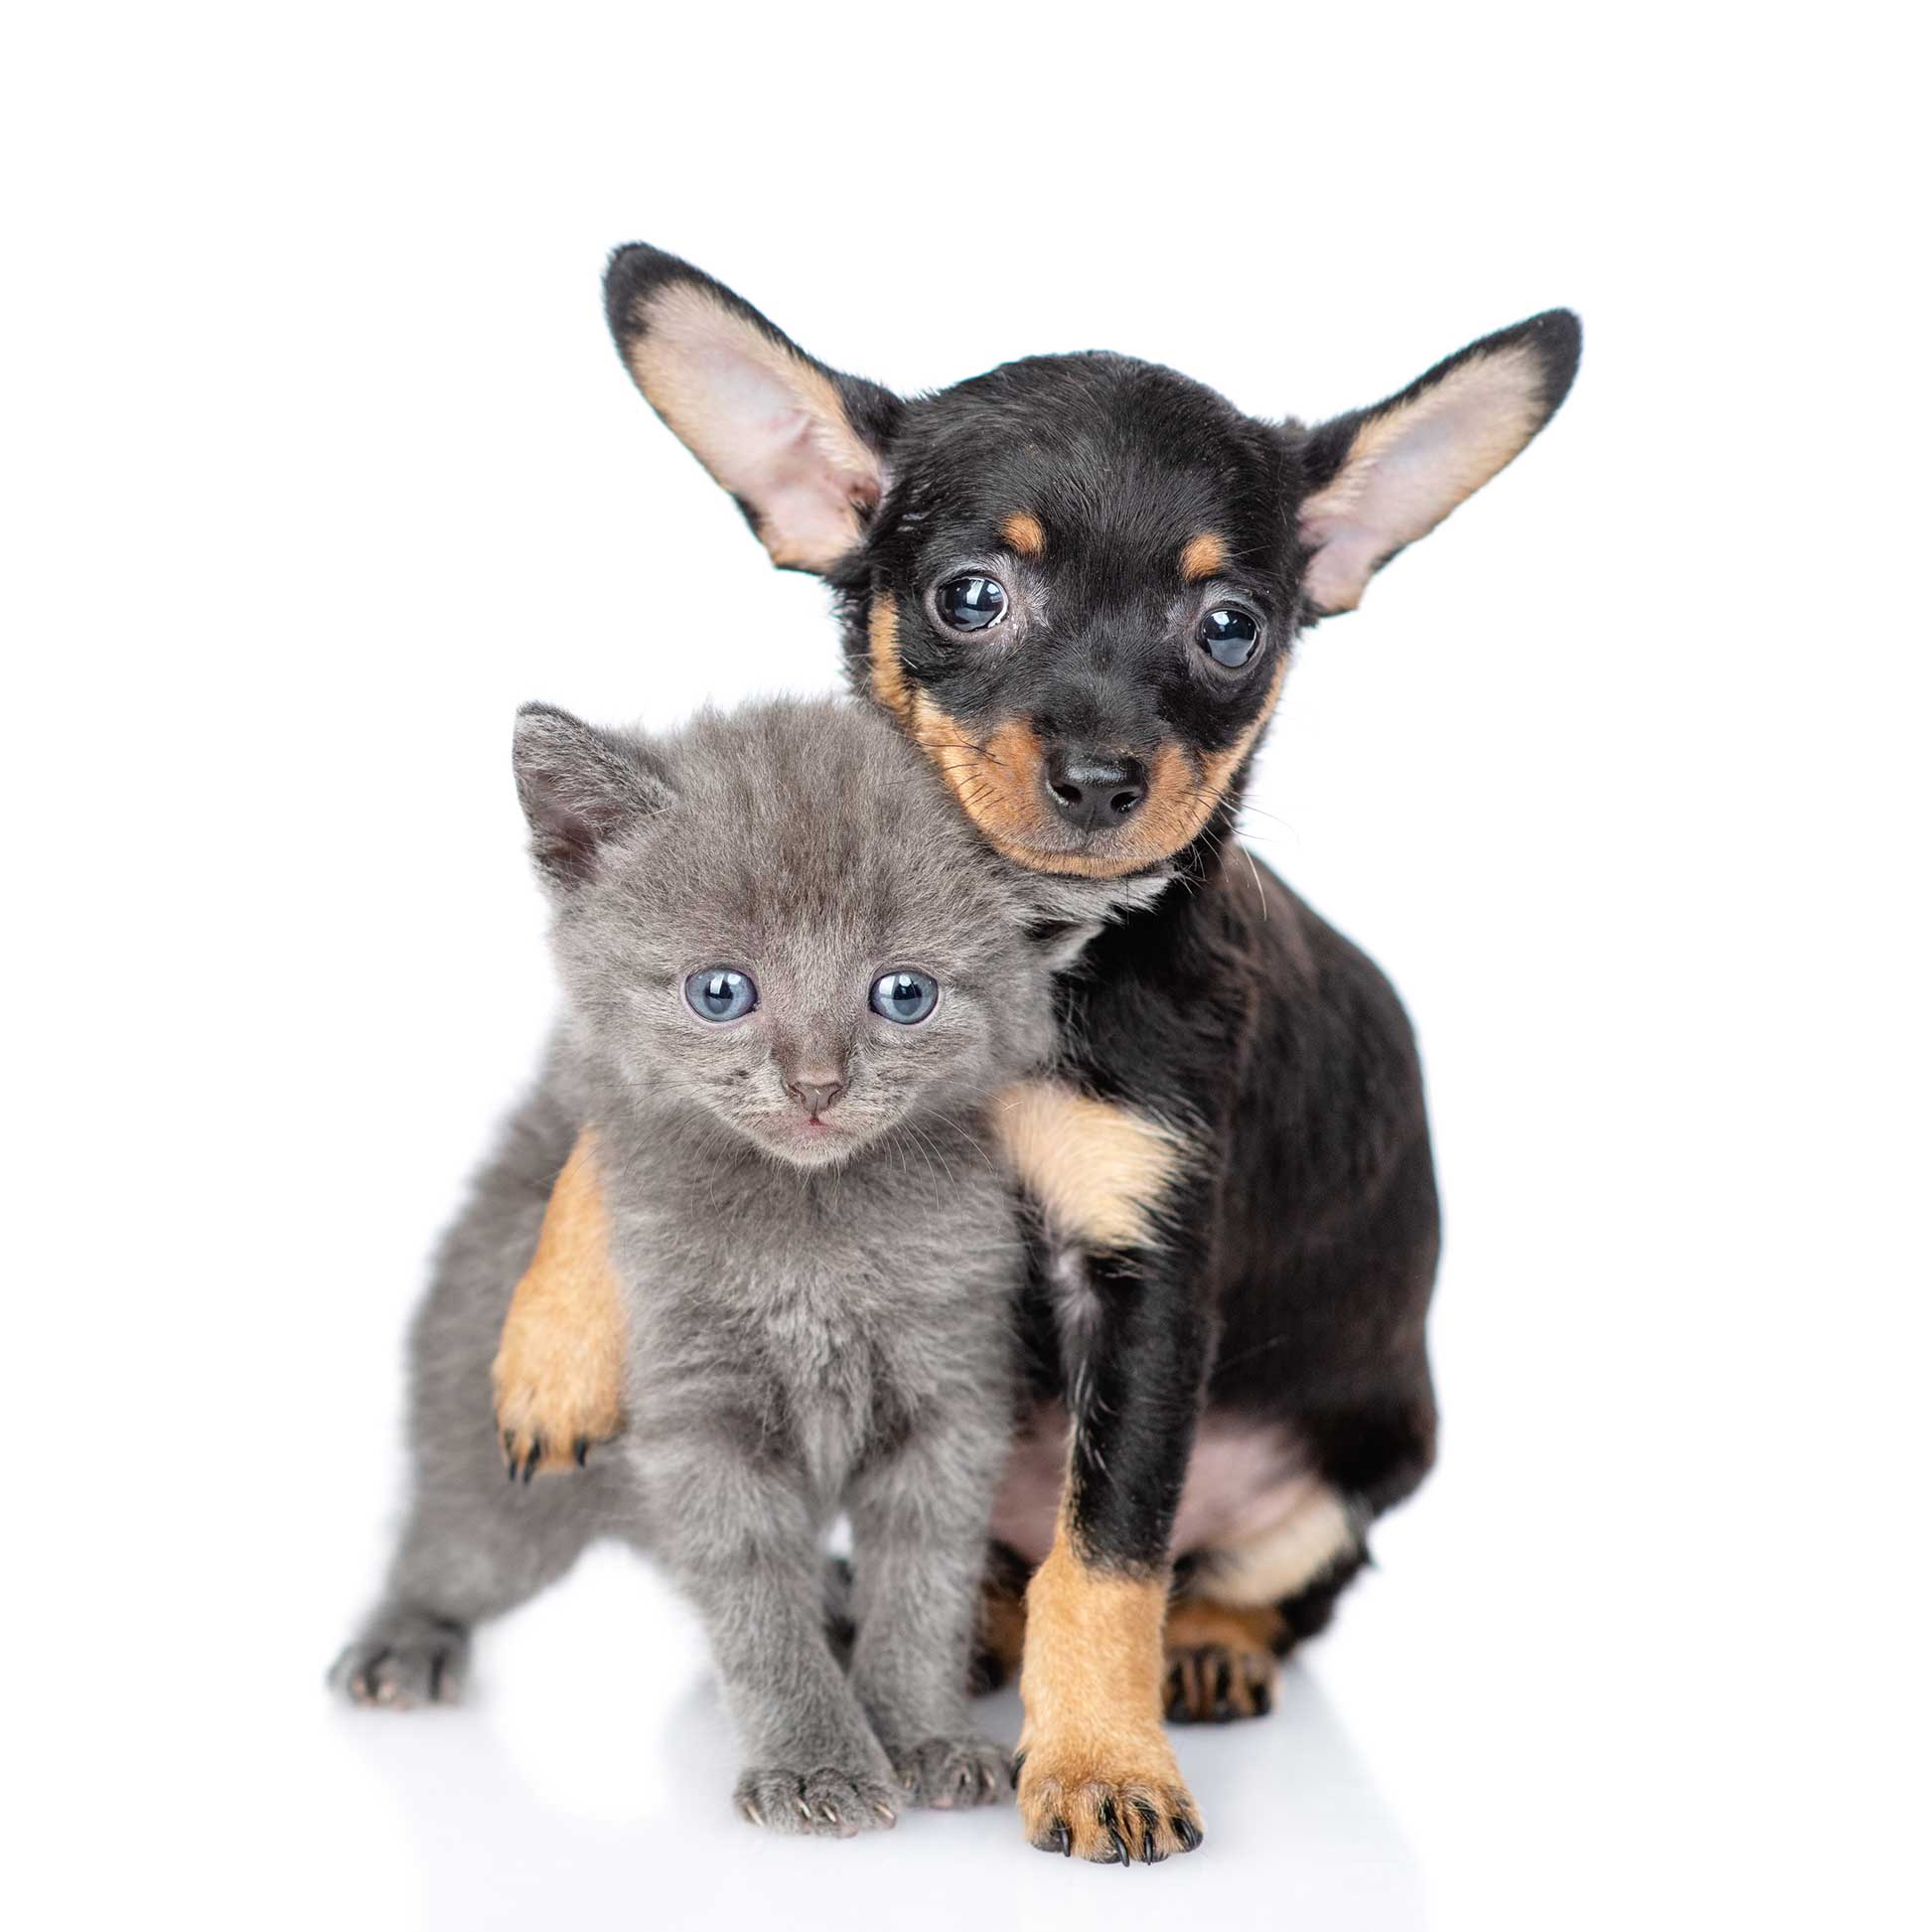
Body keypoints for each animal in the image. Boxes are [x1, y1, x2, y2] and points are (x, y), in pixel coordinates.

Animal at [332, 699, 1090, 1839]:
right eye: (720, 990)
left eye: (904, 993)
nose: (816, 1082)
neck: (813, 1235)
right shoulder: (697, 1413)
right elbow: (750, 1590)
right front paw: (817, 1762)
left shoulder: (951, 1385)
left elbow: (925, 1574)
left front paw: (920, 1732)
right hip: (497, 1472)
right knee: (445, 1546)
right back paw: (401, 1643)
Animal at [493, 248, 1584, 1861]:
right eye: (972, 596)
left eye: (1231, 627)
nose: (1101, 776)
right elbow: (616, 1135)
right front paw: (554, 1343)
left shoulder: (1146, 1278)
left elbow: (1111, 1555)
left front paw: (1101, 1763)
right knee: (997, 1564)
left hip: (1352, 1469)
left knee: (1233, 1586)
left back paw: (1200, 1654)